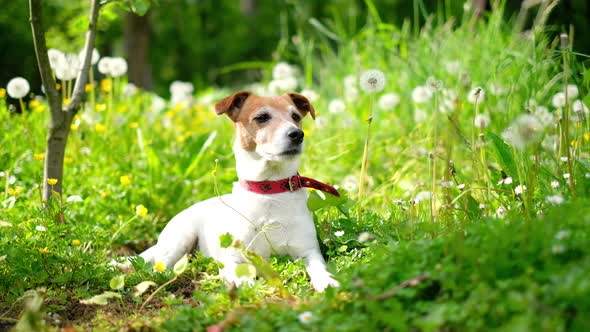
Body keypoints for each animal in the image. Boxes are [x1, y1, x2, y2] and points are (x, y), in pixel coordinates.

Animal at [114, 91, 342, 290]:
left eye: (295, 116)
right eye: (262, 117)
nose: (297, 134)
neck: (269, 192)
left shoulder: (308, 251)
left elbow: (318, 267)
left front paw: (326, 281)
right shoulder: (233, 256)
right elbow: (238, 272)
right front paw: (246, 284)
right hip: (180, 238)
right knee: (157, 269)